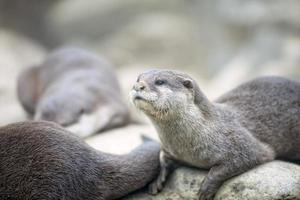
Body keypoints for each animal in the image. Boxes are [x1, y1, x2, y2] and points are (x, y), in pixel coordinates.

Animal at [131, 69, 300, 200]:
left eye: (160, 81)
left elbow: (234, 163)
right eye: (138, 78)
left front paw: (206, 187)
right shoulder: (169, 149)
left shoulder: (243, 144)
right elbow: (163, 160)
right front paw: (157, 181)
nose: (137, 86)